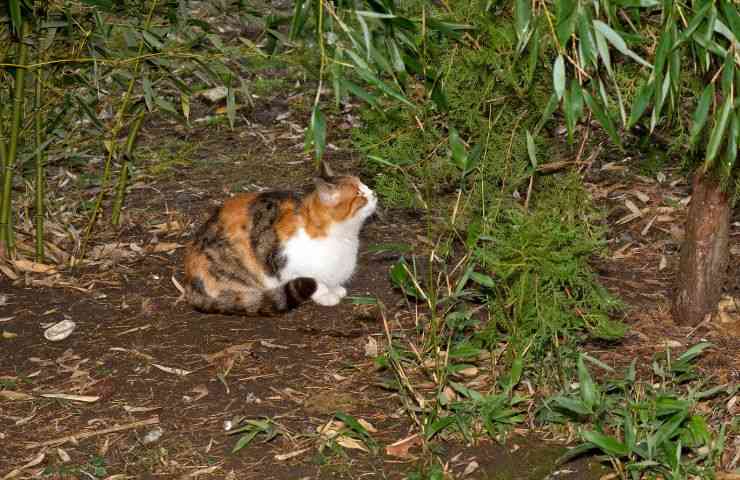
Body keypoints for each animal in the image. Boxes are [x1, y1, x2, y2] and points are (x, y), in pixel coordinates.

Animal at [183, 162, 378, 316]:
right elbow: (316, 282)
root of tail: (190, 284)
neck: (344, 237)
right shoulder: (287, 265)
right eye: (360, 194)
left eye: (365, 185)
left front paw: (335, 289)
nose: (374, 193)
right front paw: (326, 295)